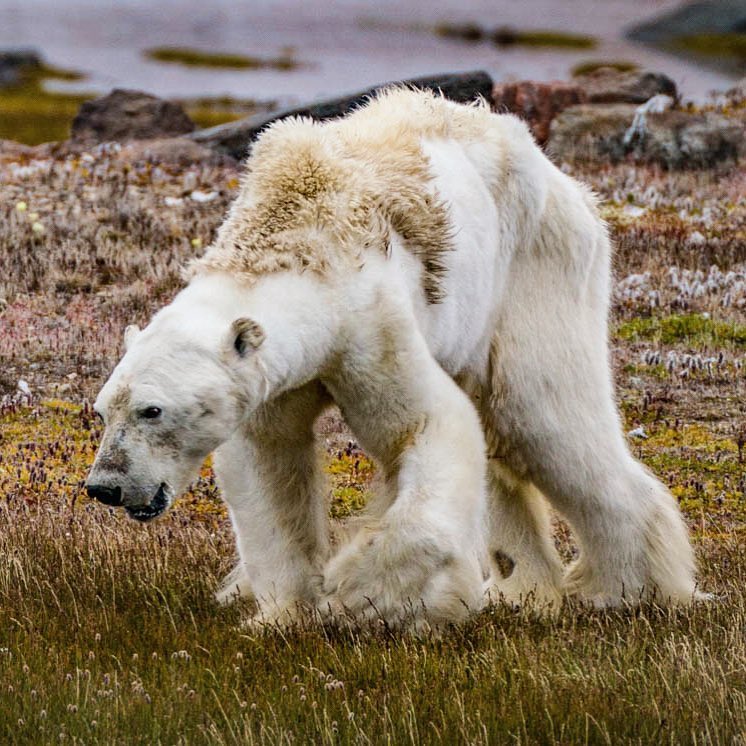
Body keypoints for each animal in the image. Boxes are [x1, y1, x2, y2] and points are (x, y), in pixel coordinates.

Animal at [85, 88, 696, 628]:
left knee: (544, 418)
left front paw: (361, 594)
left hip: (535, 269)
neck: (297, 238)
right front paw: (283, 613)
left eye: (152, 410)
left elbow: (425, 425)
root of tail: (568, 184)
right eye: (103, 409)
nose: (104, 486)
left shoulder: (369, 324)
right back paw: (523, 588)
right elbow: (268, 462)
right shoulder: (274, 378)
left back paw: (625, 590)